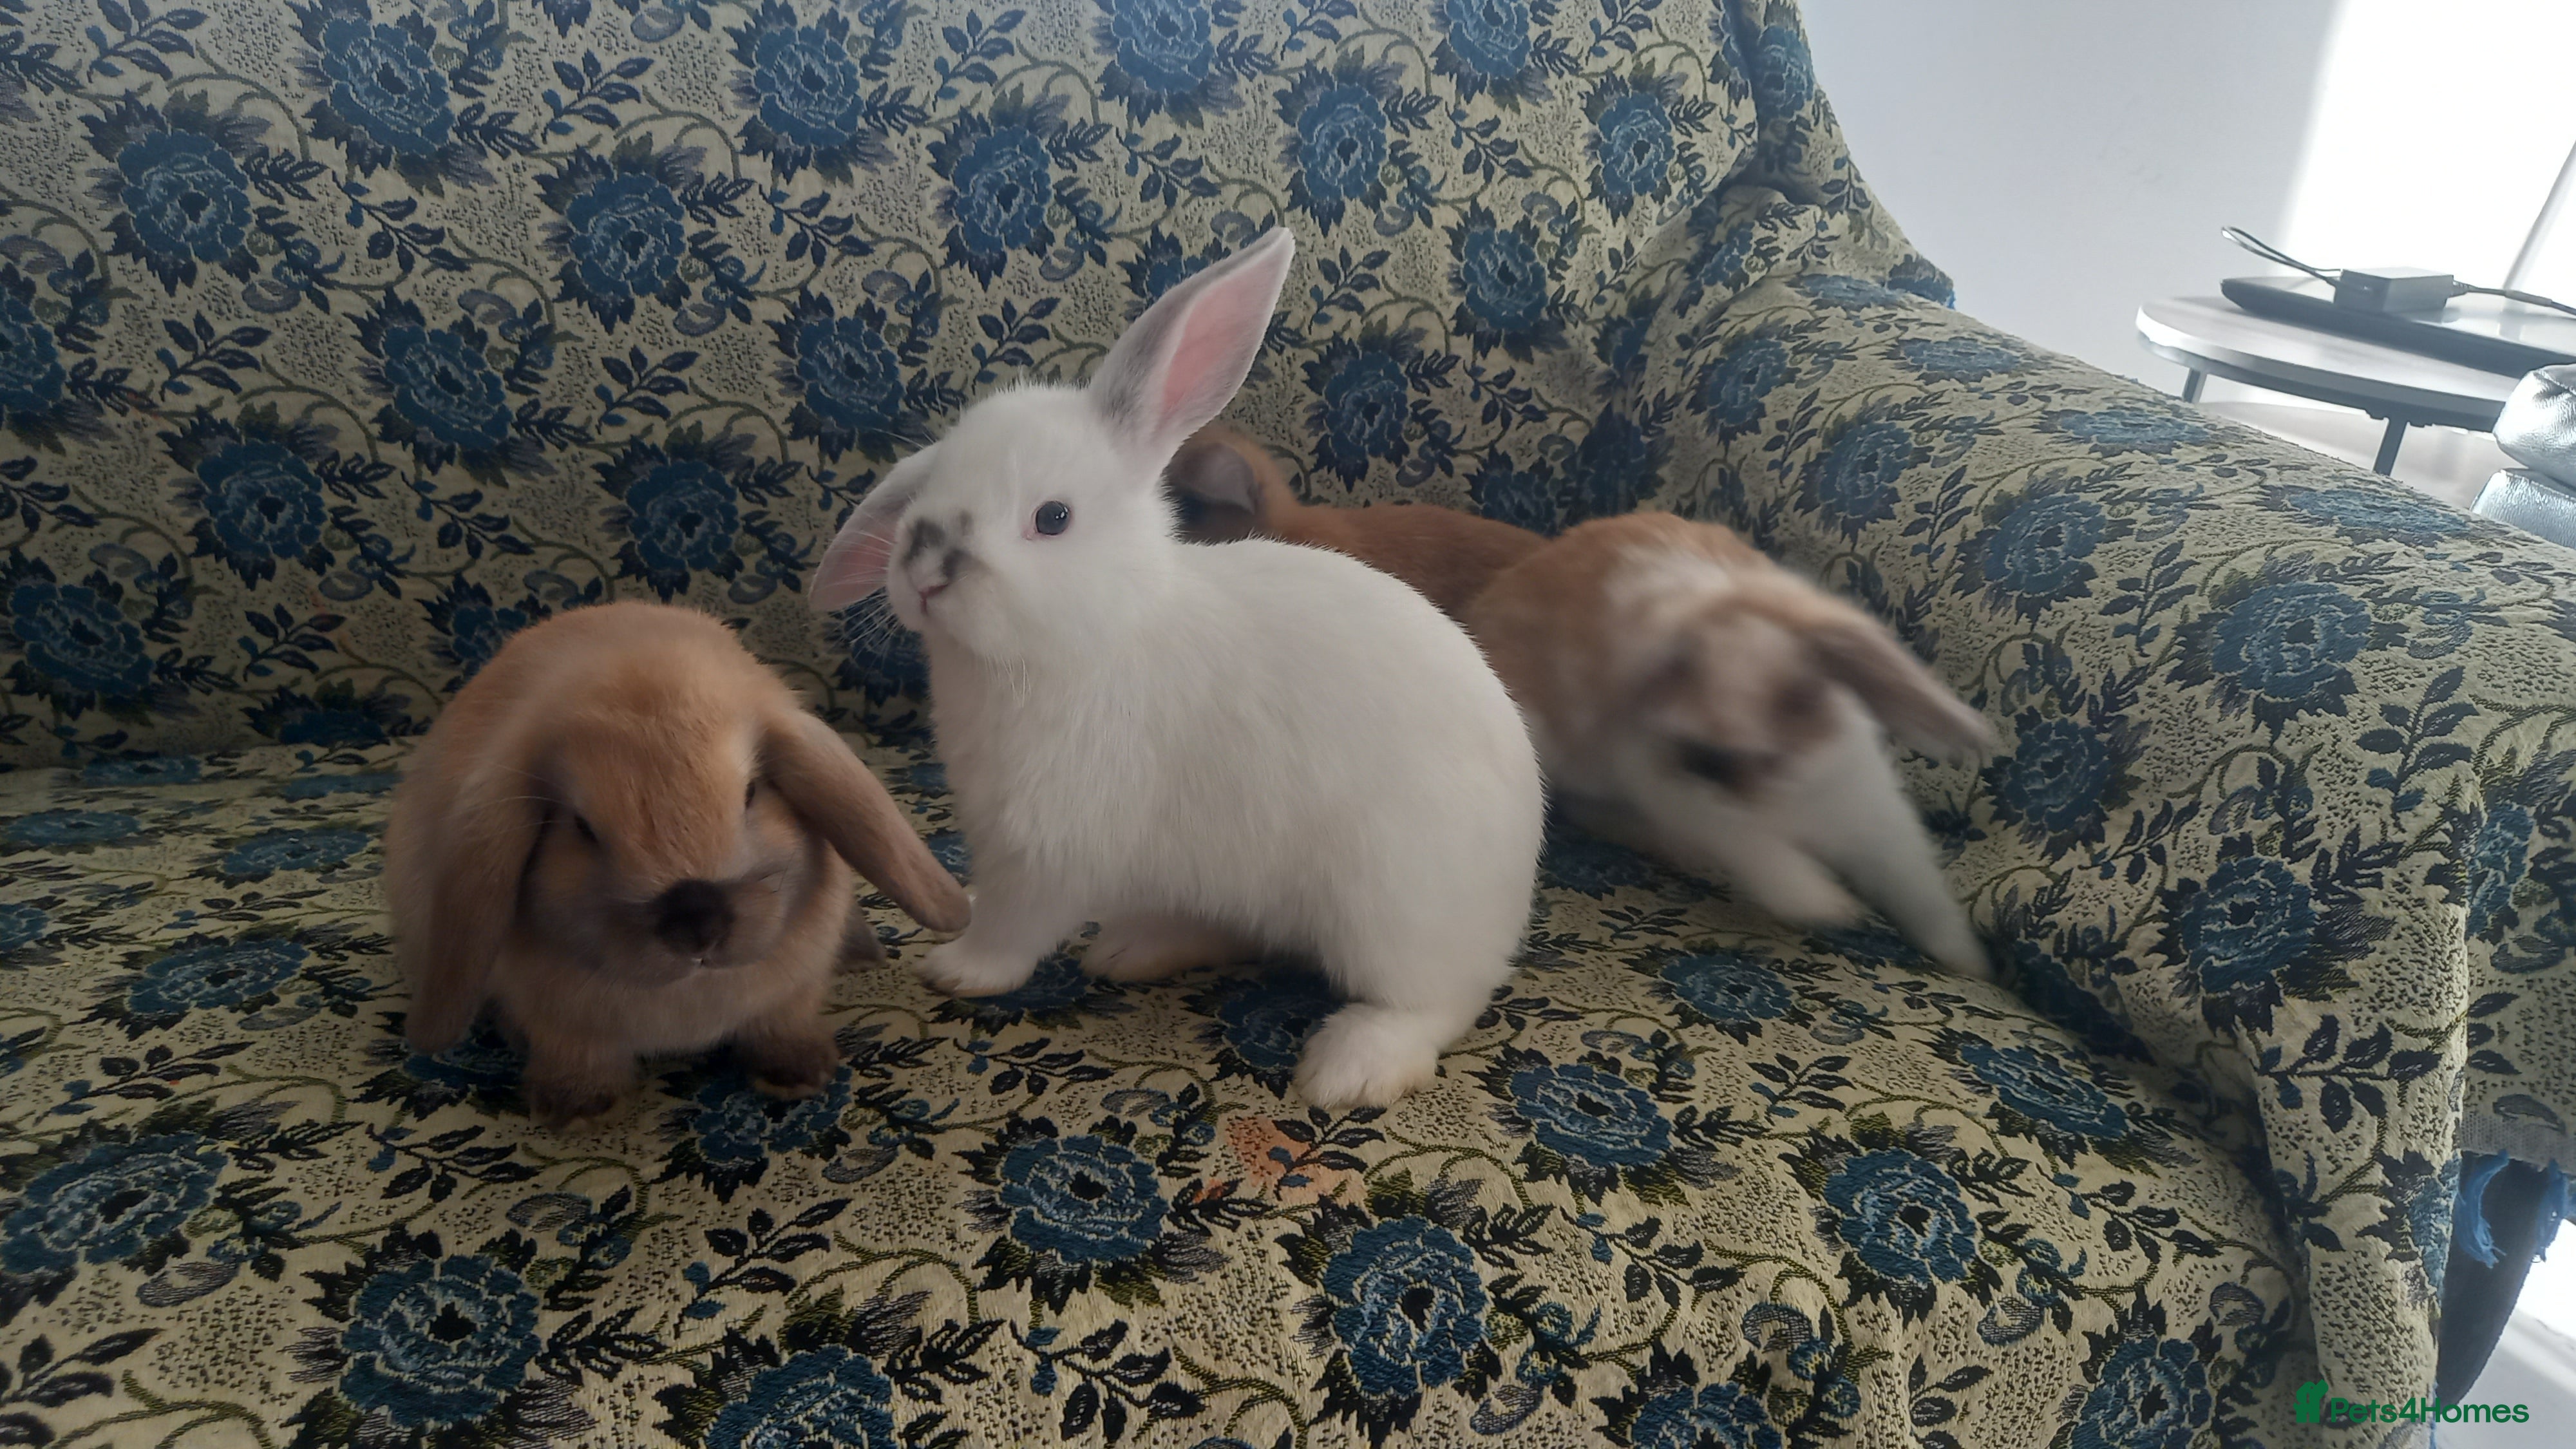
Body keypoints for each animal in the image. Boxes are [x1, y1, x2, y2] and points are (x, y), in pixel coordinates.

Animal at [386, 600, 972, 1127]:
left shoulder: (791, 996)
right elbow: (576, 1055)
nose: (697, 925)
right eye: (582, 828)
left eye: (751, 793)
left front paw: (801, 1075)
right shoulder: (561, 1023)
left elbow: (784, 1026)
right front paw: (574, 1109)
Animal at [1465, 511, 1996, 979]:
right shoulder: (1701, 812)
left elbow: (1921, 894)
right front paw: (1832, 906)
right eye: (1700, 757)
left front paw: (1968, 963)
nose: (1722, 773)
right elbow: (1773, 865)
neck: (1788, 797)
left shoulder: (1879, 826)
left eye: (1800, 699)